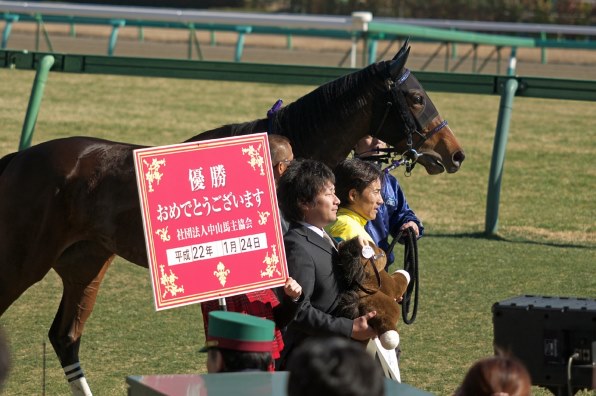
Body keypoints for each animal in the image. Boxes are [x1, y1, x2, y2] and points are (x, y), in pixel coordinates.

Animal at [0, 41, 464, 396]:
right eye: (417, 97)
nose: (455, 153)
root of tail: (18, 159)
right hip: (23, 263)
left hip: (87, 263)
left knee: (65, 337)